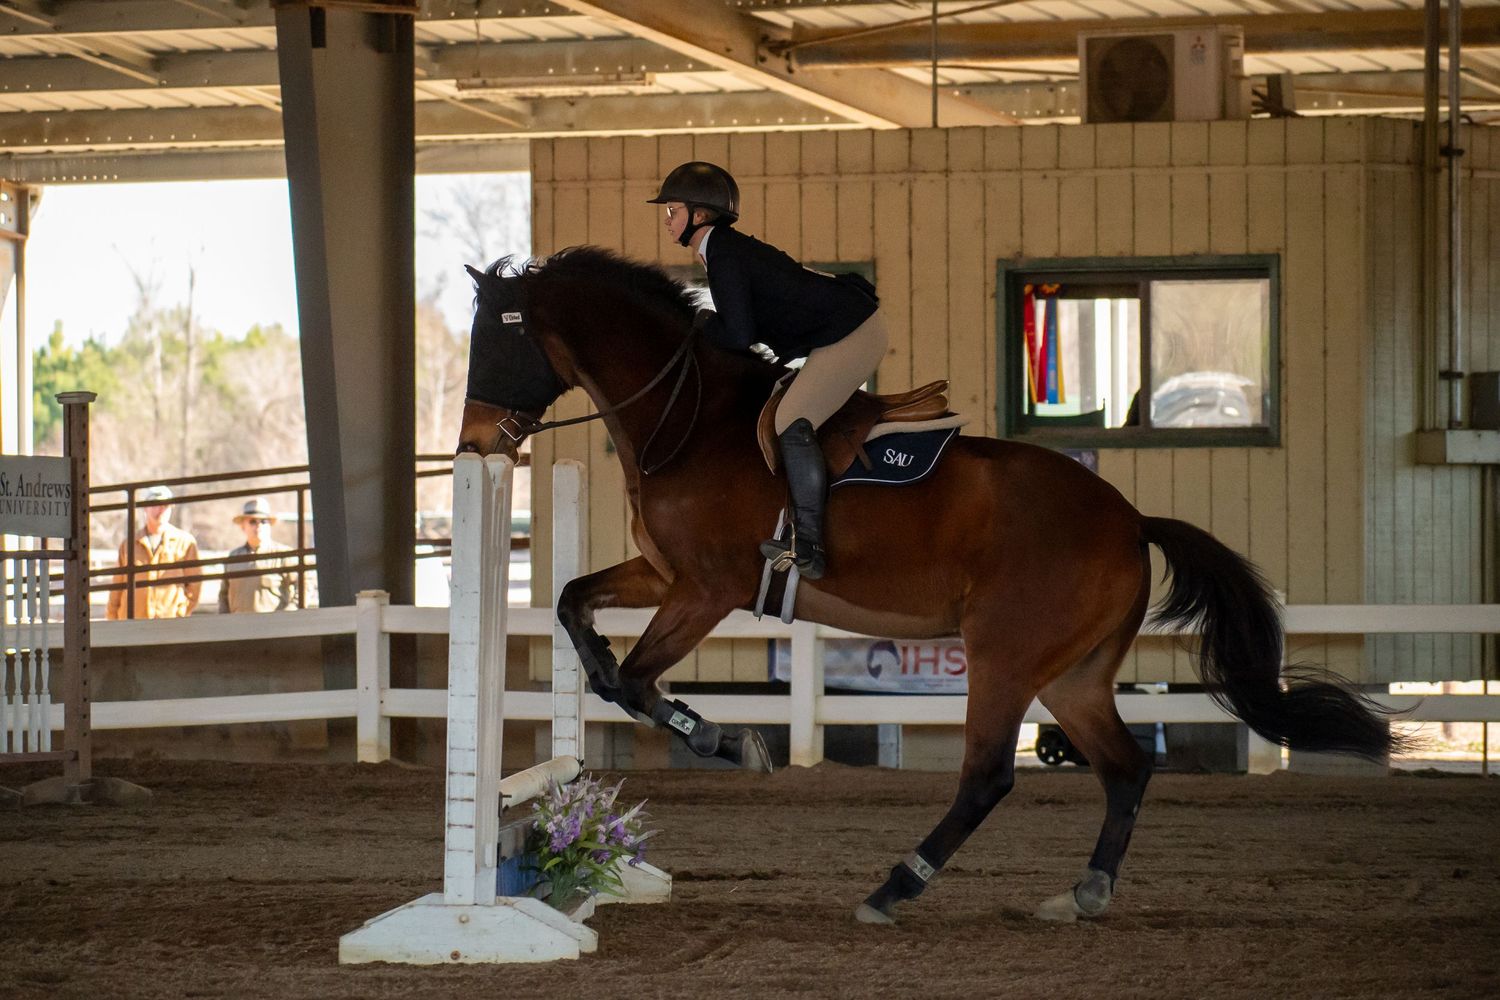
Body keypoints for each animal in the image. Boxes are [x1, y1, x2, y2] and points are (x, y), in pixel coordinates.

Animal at [455, 246, 1401, 925]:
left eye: (498, 343)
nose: (473, 447)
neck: (689, 420)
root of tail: (1131, 520)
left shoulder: (708, 588)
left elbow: (633, 679)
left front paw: (731, 741)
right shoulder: (664, 573)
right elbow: (578, 614)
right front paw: (713, 732)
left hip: (1005, 655)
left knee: (989, 776)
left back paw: (893, 890)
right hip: (1073, 673)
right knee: (1126, 767)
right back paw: (1083, 893)